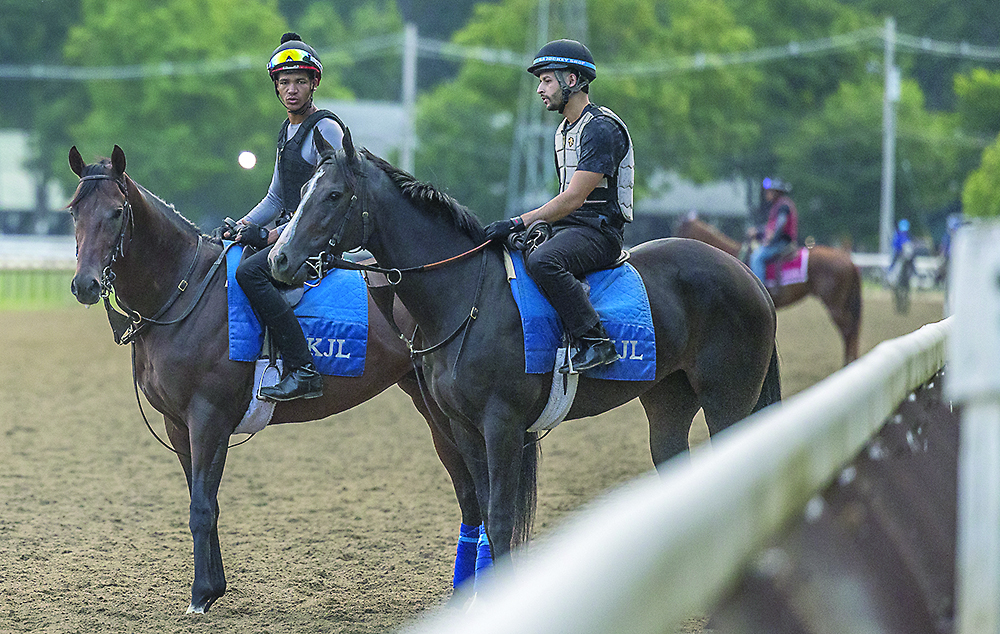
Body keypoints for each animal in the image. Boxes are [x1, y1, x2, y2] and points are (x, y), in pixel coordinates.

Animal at [66, 145, 482, 614]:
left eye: (117, 212)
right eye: (74, 210)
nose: (85, 284)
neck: (186, 292)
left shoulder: (208, 420)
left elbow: (201, 508)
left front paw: (200, 596)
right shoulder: (178, 425)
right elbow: (203, 501)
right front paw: (213, 588)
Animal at [267, 129, 782, 563]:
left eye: (333, 195)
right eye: (302, 191)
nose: (279, 259)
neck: (467, 294)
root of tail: (744, 271)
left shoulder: (502, 425)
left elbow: (499, 521)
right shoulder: (465, 428)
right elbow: (486, 517)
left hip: (727, 400)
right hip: (669, 400)